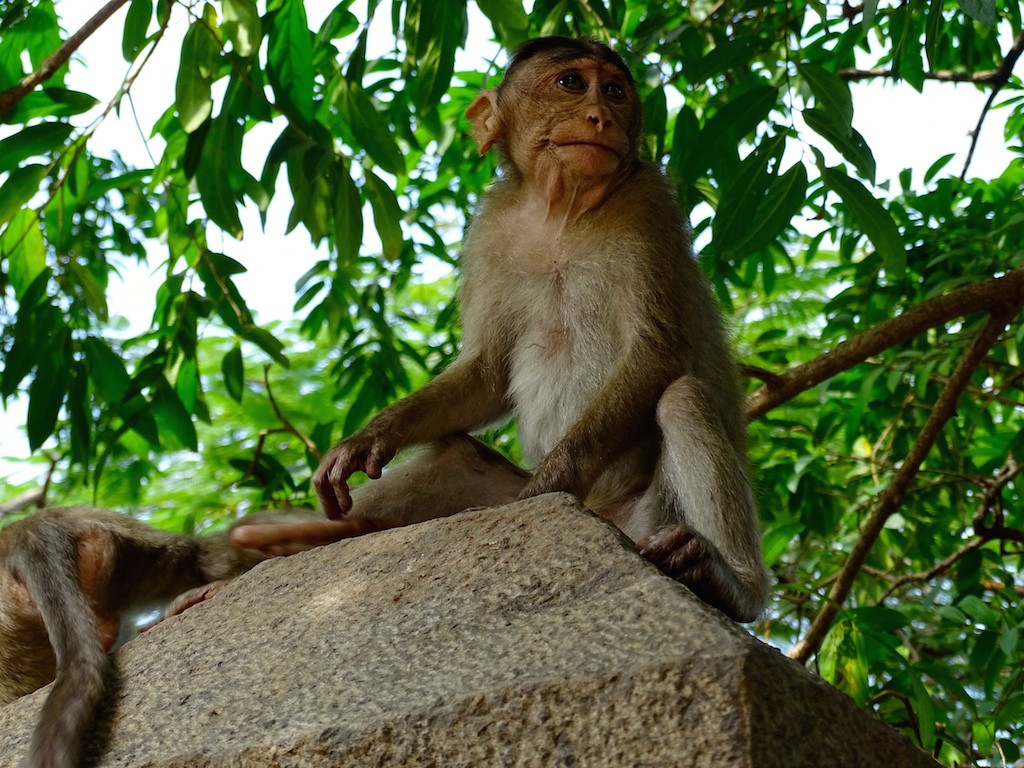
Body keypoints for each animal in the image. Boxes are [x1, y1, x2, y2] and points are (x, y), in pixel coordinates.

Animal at [313, 36, 769, 623]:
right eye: (571, 84)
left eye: (614, 91)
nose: (600, 117)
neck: (563, 212)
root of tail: (607, 518)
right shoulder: (490, 225)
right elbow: (487, 373)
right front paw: (369, 439)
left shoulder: (649, 204)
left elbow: (655, 352)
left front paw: (545, 488)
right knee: (454, 455)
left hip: (650, 522)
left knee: (682, 398)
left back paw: (731, 582)